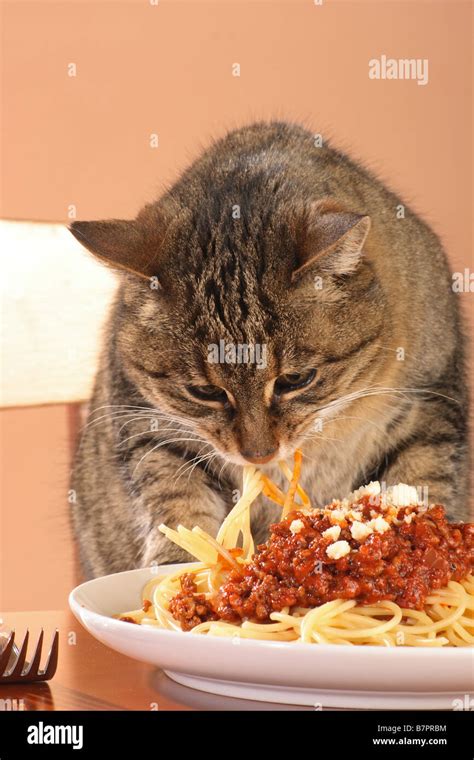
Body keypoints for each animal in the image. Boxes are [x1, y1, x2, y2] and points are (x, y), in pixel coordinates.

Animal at [67, 121, 470, 580]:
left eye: (295, 380)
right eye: (205, 392)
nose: (257, 454)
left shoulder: (430, 409)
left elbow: (419, 486)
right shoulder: (148, 427)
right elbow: (178, 507)